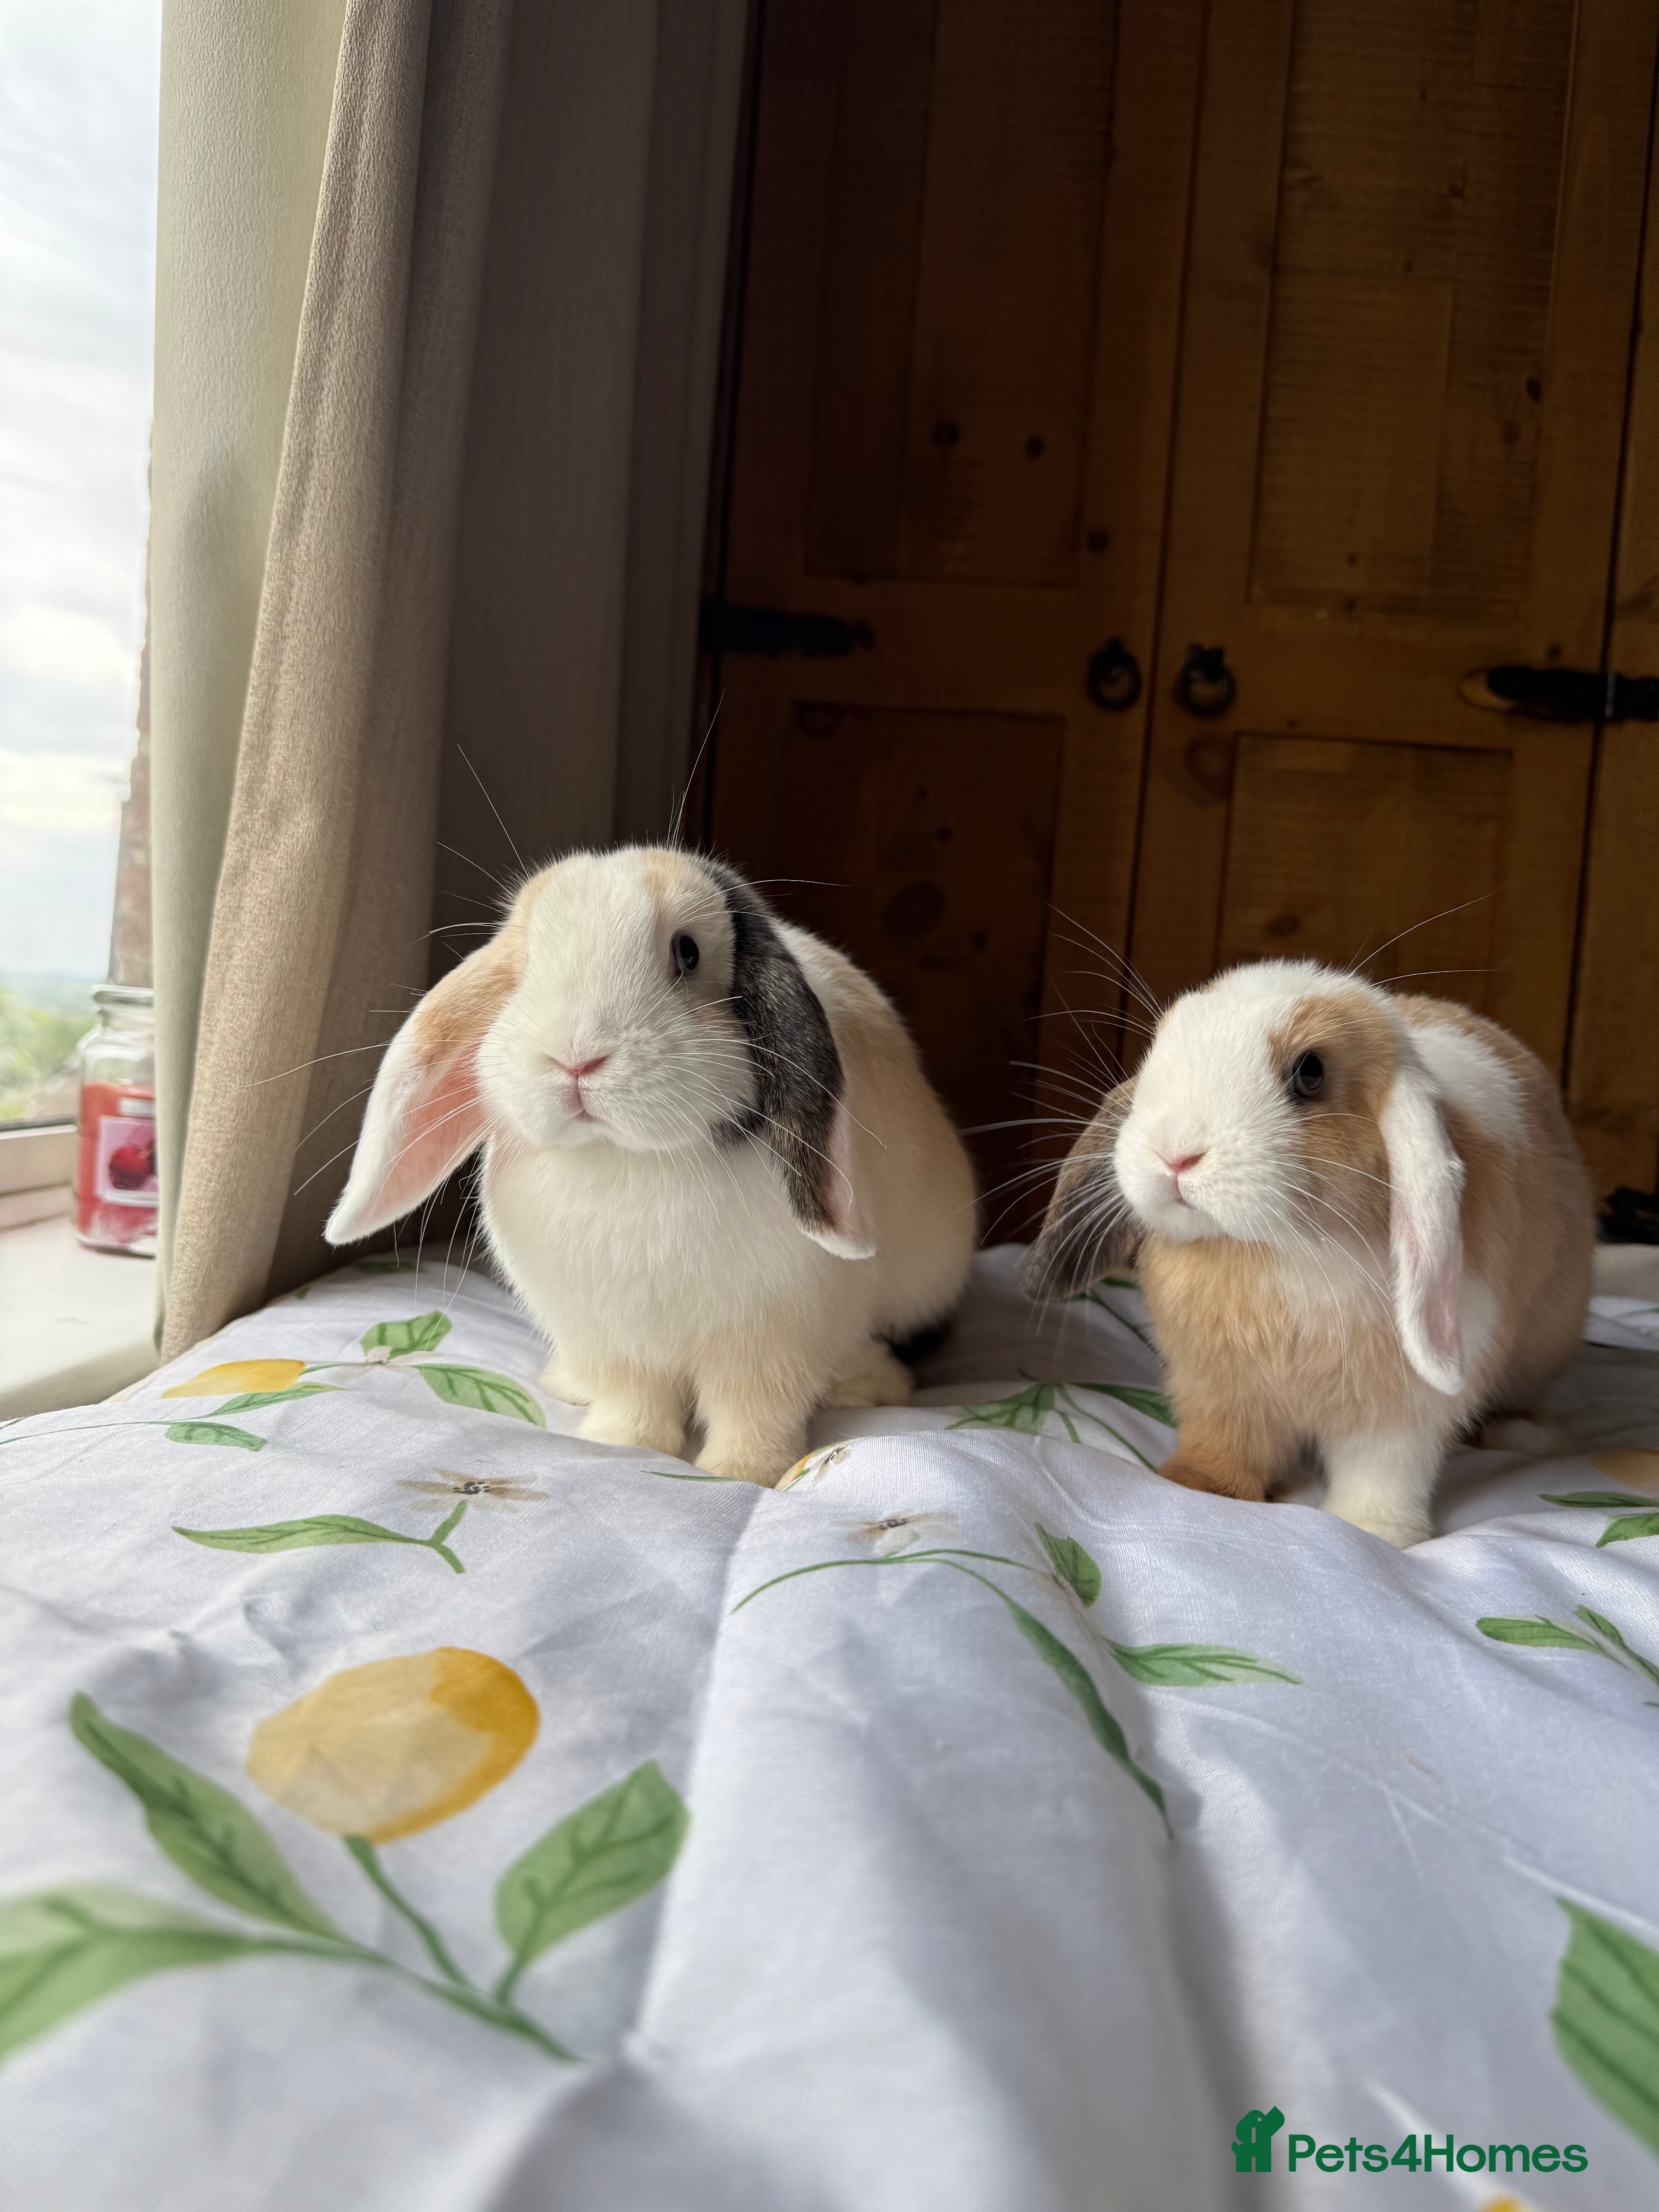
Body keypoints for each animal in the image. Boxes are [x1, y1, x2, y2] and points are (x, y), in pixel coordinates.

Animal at [325, 846, 977, 1483]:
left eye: (687, 952)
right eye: (527, 964)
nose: (575, 1057)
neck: (628, 1159)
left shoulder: (770, 1341)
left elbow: (753, 1409)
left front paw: (744, 1472)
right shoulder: (613, 1342)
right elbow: (634, 1401)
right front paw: (622, 1446)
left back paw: (870, 1387)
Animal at [1021, 959, 1595, 1546]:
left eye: (1310, 1072)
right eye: (1162, 1041)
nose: (1174, 1152)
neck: (1281, 1250)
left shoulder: (1402, 1413)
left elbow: (1384, 1471)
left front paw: (1376, 1532)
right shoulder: (1218, 1389)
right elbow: (1224, 1445)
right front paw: (1196, 1488)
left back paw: (1524, 1435)